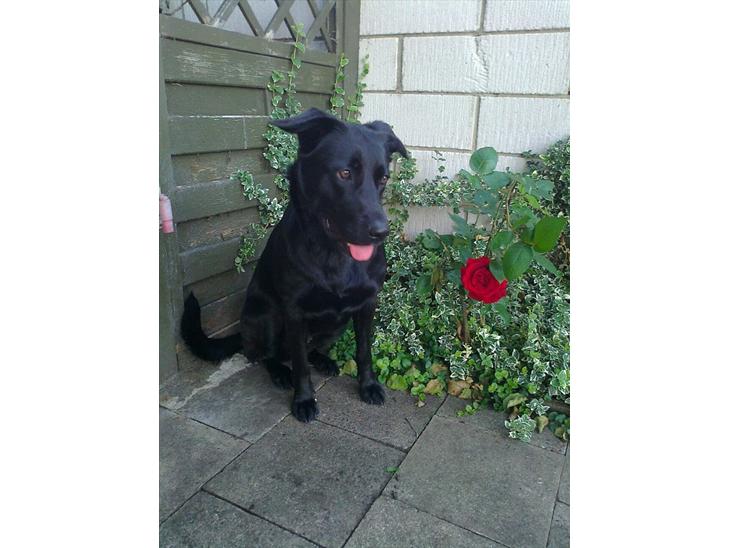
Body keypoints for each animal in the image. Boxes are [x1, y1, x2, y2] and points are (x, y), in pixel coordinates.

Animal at [181, 108, 407, 423]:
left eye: (383, 178)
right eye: (345, 173)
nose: (381, 232)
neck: (335, 254)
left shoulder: (367, 304)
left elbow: (364, 351)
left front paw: (369, 386)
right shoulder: (294, 311)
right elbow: (300, 364)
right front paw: (303, 400)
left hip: (337, 325)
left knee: (312, 349)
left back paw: (323, 360)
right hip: (266, 318)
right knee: (267, 357)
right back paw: (280, 373)